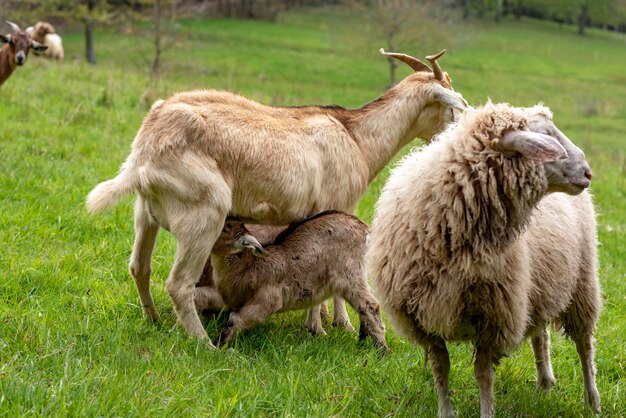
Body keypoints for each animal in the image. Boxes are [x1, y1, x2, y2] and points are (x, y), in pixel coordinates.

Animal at [210, 209, 386, 352]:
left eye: (224, 229)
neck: (249, 268)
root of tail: (365, 230)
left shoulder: (267, 301)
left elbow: (234, 320)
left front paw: (217, 345)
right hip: (359, 273)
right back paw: (362, 341)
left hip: (349, 274)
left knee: (369, 305)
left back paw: (381, 351)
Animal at [366, 102, 600, 418]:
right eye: (544, 136)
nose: (587, 173)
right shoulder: (421, 316)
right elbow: (441, 367)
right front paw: (445, 412)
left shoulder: (494, 316)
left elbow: (483, 375)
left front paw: (486, 411)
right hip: (538, 286)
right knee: (540, 333)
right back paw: (544, 383)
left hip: (582, 283)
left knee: (584, 345)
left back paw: (593, 401)